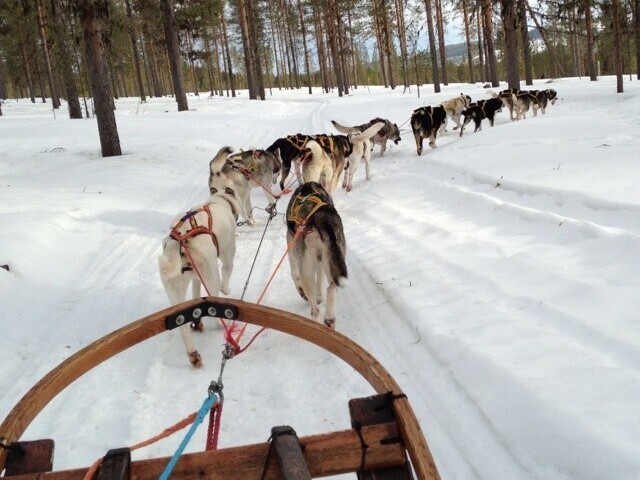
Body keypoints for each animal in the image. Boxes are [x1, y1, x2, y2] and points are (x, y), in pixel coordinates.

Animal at [284, 182, 348, 328]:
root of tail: (321, 216)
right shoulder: (320, 260)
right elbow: (320, 279)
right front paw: (319, 296)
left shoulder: (291, 251)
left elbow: (294, 276)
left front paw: (302, 292)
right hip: (333, 261)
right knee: (332, 287)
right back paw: (330, 319)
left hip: (306, 270)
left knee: (315, 311)